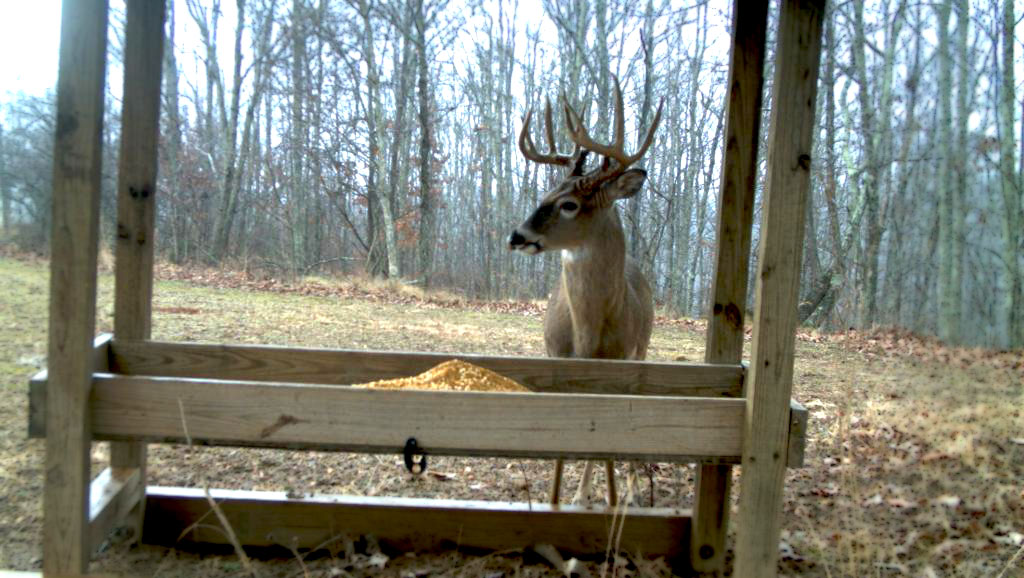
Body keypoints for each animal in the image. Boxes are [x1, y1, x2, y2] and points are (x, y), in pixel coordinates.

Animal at [505, 77, 663, 506]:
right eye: (544, 194)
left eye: (570, 204)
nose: (516, 236)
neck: (586, 337)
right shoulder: (556, 359)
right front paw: (556, 497)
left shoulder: (618, 367)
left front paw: (602, 495)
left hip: (642, 350)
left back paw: (629, 489)